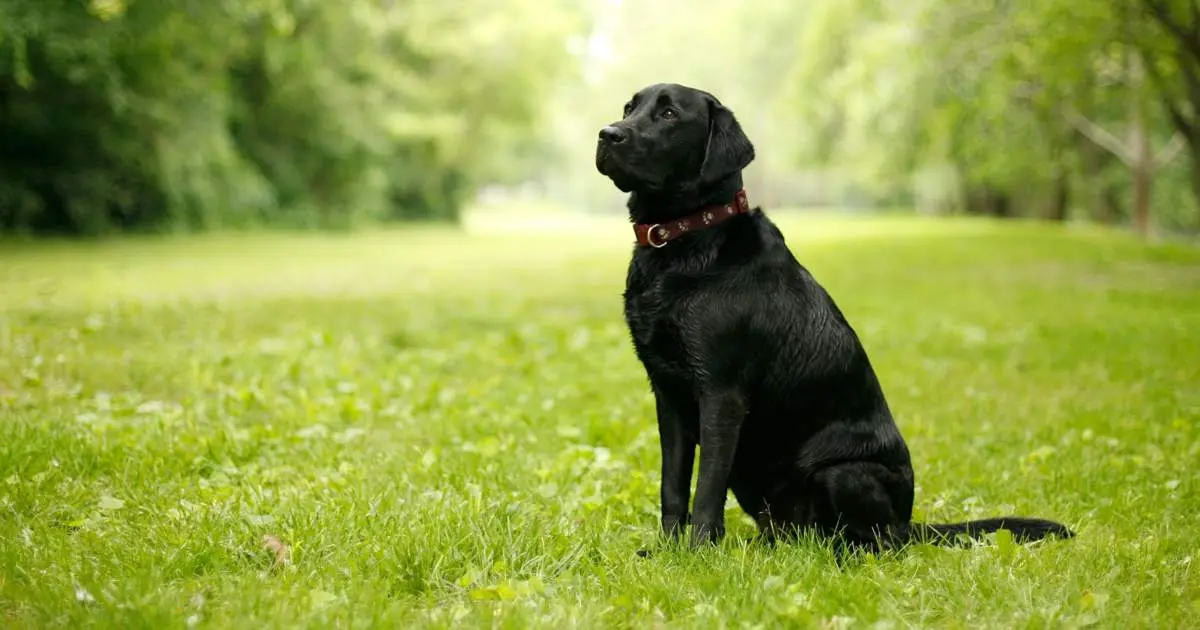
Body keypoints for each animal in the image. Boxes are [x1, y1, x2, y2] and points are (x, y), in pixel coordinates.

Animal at [595, 82, 1075, 549]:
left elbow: (706, 490)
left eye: (669, 113)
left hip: (842, 472)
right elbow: (673, 486)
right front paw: (667, 551)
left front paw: (698, 553)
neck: (688, 243)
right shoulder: (668, 394)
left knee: (878, 541)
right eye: (628, 107)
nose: (607, 133)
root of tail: (910, 522)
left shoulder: (720, 393)